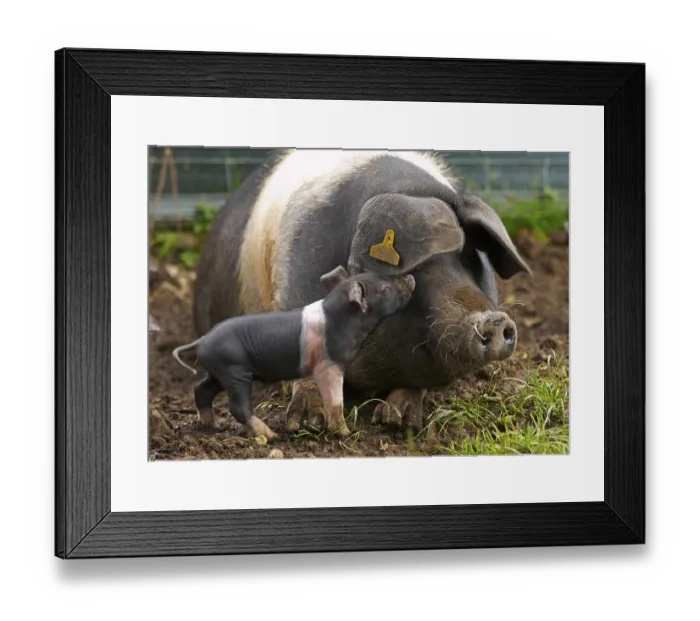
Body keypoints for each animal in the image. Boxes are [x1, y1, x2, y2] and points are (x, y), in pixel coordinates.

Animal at [174, 266, 415, 440]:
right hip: (234, 372)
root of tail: (203, 340)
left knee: (201, 389)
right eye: (385, 289)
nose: (410, 277)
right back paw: (270, 436)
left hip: (219, 372)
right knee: (237, 407)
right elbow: (336, 401)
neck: (342, 321)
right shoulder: (329, 366)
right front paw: (346, 433)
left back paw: (216, 426)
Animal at [194, 149, 531, 435]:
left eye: (469, 254)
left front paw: (397, 421)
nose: (493, 320)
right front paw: (307, 424)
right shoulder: (293, 290)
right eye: (415, 270)